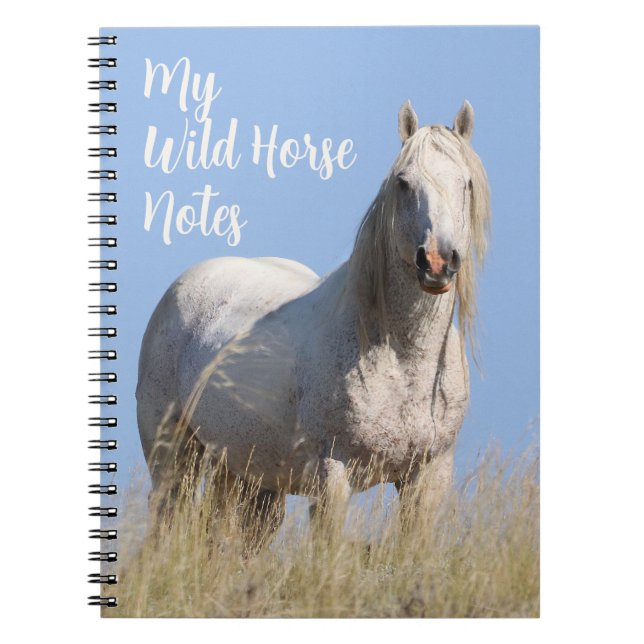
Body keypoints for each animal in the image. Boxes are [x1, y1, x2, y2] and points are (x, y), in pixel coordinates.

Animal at [136, 100, 491, 533]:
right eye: (403, 183)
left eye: (466, 183)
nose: (437, 262)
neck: (402, 358)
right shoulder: (332, 476)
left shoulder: (429, 475)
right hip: (174, 454)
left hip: (247, 478)